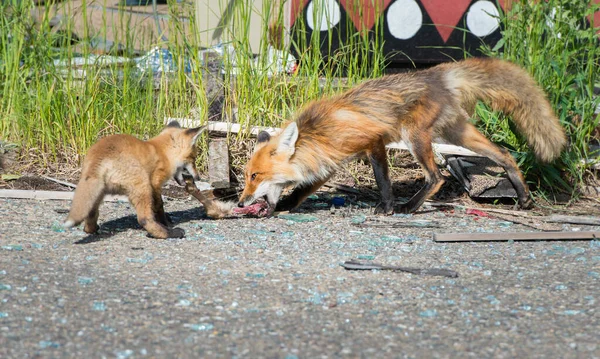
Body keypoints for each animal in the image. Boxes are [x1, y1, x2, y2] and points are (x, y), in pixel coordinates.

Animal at [62, 121, 204, 239]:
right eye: (193, 158)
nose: (198, 177)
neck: (163, 152)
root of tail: (99, 156)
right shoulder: (155, 183)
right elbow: (159, 206)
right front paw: (166, 224)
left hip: (98, 192)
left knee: (90, 214)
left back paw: (91, 229)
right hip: (143, 186)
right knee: (143, 219)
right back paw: (168, 234)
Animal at [237, 58, 564, 215]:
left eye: (254, 175)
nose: (240, 203)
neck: (317, 133)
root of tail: (438, 74)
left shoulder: (372, 140)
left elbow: (383, 180)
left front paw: (388, 207)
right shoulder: (329, 161)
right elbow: (303, 189)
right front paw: (287, 205)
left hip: (414, 136)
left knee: (437, 177)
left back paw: (411, 206)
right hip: (457, 134)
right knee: (505, 155)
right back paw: (523, 195)